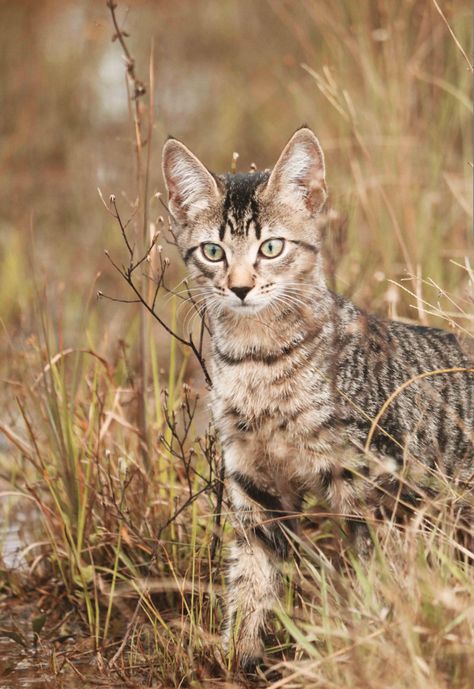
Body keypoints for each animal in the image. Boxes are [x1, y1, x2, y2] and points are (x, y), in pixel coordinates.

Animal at [161, 126, 472, 668]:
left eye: (271, 247)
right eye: (213, 252)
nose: (239, 288)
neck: (258, 363)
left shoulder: (372, 481)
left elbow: (379, 573)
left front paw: (375, 640)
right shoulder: (254, 484)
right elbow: (250, 579)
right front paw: (239, 656)